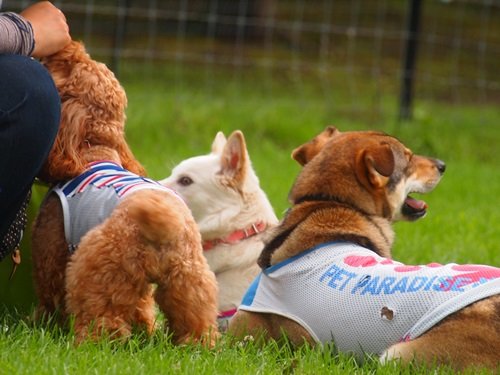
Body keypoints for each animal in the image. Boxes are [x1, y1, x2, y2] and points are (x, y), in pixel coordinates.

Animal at [30, 41, 219, 346]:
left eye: (70, 65)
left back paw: (91, 344)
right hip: (189, 279)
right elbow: (141, 308)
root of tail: (162, 227)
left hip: (96, 268)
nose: (71, 45)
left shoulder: (50, 251)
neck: (94, 150)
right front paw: (145, 328)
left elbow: (49, 294)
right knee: (195, 322)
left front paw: (41, 324)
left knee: (104, 322)